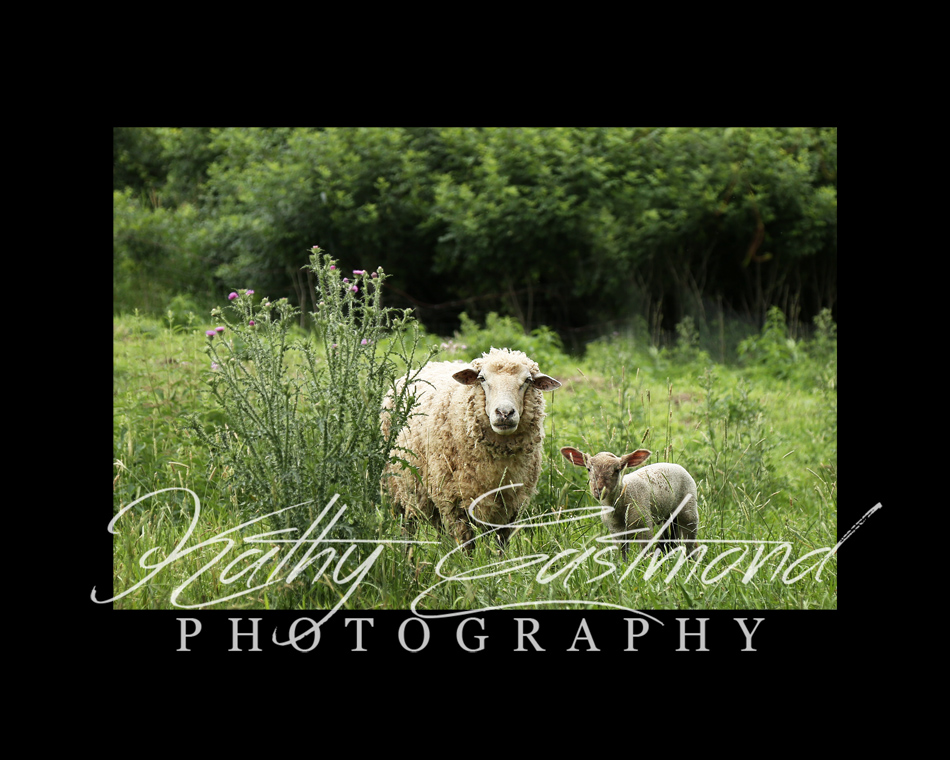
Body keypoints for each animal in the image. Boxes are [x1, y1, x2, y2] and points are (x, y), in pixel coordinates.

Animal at [382, 348, 561, 549]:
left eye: (528, 381)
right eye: (482, 378)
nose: (504, 413)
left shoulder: (511, 507)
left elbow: (500, 548)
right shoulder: (454, 504)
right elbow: (465, 546)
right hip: (401, 489)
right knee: (408, 526)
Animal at [560, 447, 698, 560]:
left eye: (617, 470)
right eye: (588, 469)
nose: (599, 491)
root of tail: (673, 464)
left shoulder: (645, 527)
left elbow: (645, 556)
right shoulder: (616, 534)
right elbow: (621, 558)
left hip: (689, 510)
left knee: (690, 543)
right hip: (668, 516)